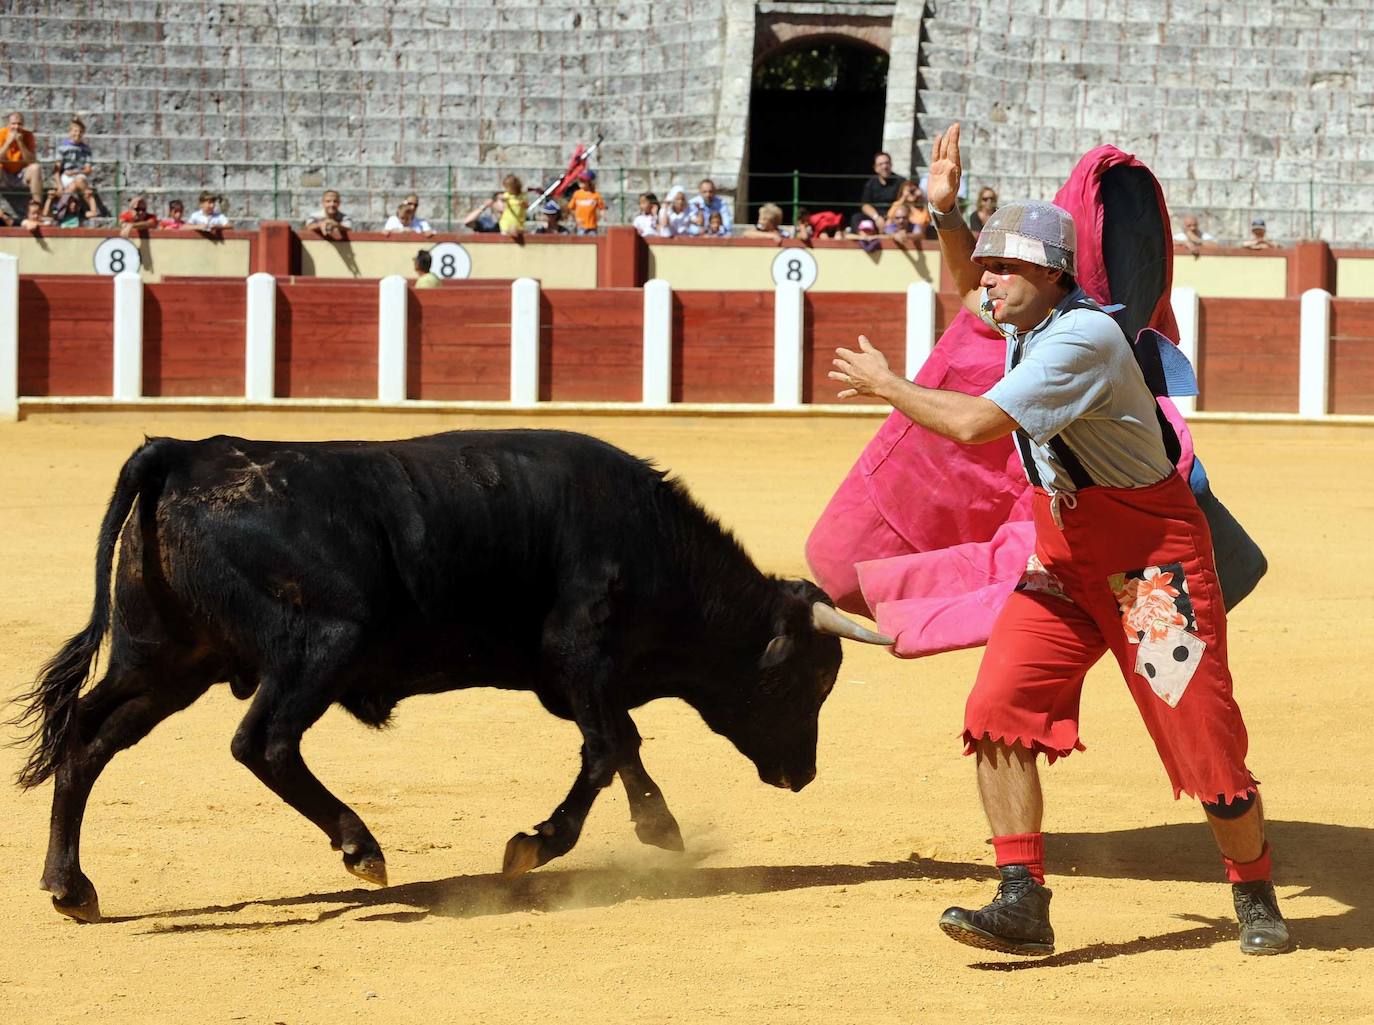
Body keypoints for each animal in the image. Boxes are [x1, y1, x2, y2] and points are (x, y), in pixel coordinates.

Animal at [13, 425, 890, 923]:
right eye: (811, 682)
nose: (802, 773)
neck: (655, 547)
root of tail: (183, 454)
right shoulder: (581, 651)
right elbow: (608, 746)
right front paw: (551, 842)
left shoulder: (574, 677)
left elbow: (617, 742)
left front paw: (641, 828)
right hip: (320, 642)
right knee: (262, 742)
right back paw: (361, 846)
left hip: (163, 659)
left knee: (87, 737)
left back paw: (71, 886)